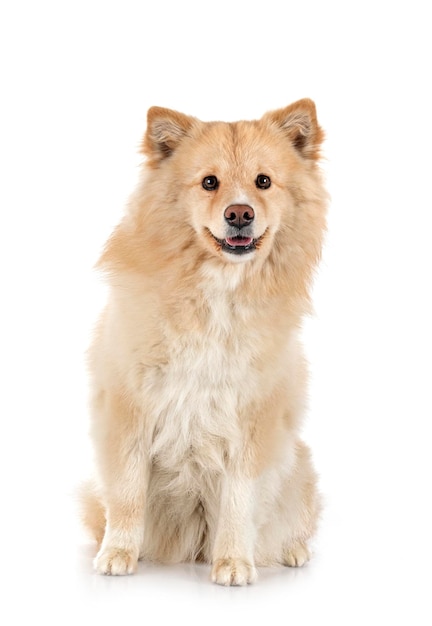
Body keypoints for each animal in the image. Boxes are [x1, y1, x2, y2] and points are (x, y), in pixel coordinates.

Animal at [80, 98, 328, 584]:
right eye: (209, 182)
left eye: (263, 181)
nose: (240, 214)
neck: (217, 294)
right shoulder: (129, 409)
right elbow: (127, 494)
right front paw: (117, 554)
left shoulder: (252, 423)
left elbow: (239, 502)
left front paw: (232, 562)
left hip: (299, 465)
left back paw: (293, 551)